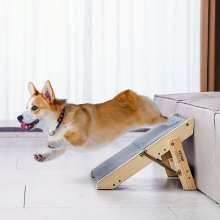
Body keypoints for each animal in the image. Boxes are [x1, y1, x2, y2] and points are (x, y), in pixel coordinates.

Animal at [16, 80, 167, 162]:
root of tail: (132, 94)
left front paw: (53, 142)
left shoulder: (80, 137)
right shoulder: (63, 148)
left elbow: (65, 139)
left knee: (162, 117)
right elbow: (55, 151)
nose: (18, 117)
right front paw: (42, 155)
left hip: (150, 119)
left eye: (34, 108)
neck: (59, 120)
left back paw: (170, 118)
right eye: (26, 107)